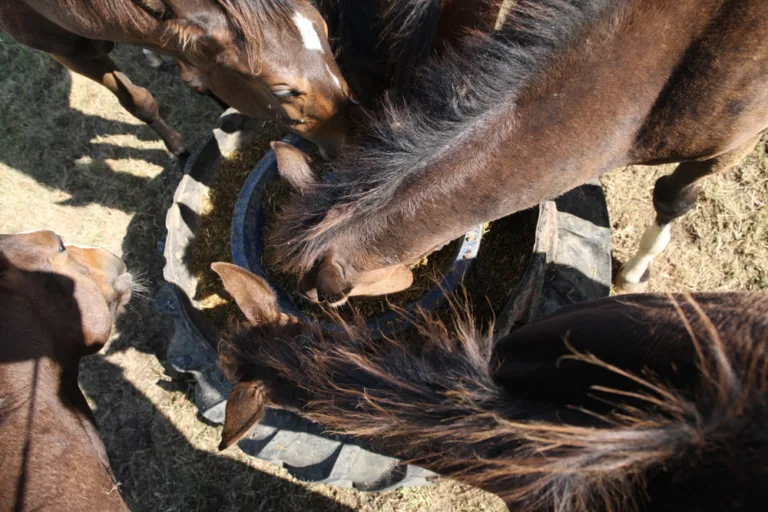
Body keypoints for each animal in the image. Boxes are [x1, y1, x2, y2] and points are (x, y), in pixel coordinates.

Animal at [0, 0, 354, 157]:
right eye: (282, 92)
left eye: (327, 30)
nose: (352, 140)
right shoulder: (68, 53)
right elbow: (138, 101)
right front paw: (180, 152)